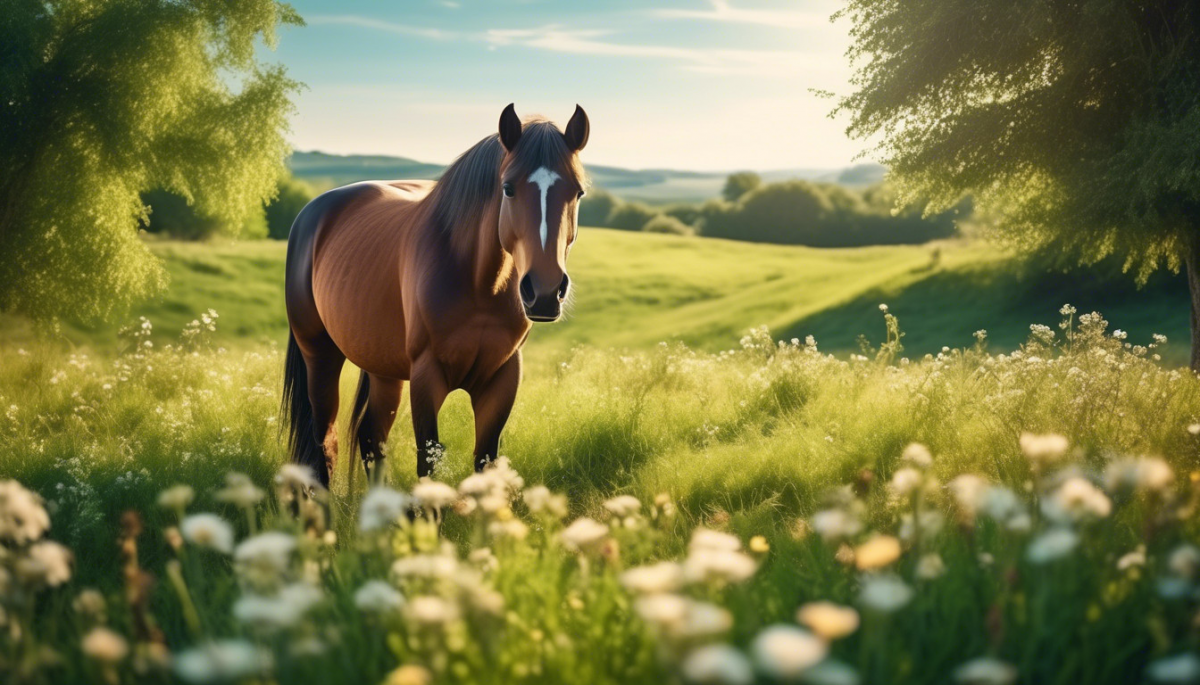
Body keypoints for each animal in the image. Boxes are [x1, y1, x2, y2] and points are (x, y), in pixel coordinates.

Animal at [282, 104, 590, 484]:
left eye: (578, 192)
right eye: (508, 188)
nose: (545, 292)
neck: (479, 284)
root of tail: (310, 214)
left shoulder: (503, 378)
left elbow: (485, 460)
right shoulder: (426, 377)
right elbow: (427, 461)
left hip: (383, 369)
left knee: (371, 438)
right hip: (320, 355)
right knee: (324, 442)